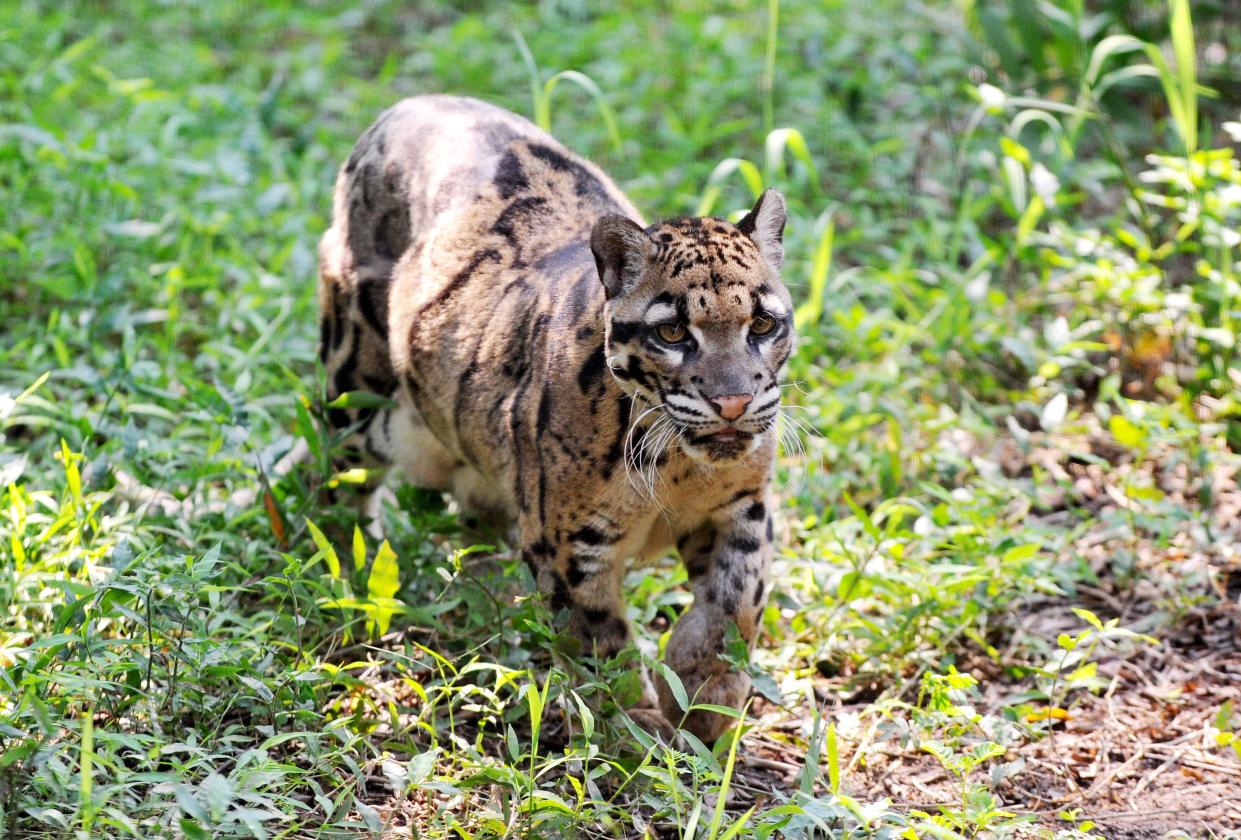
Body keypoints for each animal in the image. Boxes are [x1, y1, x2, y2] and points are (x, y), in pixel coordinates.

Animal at [320, 93, 794, 739]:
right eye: (673, 333)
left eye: (763, 324)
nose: (734, 403)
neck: (677, 462)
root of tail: (414, 101)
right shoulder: (568, 547)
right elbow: (600, 644)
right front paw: (634, 728)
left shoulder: (743, 507)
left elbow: (736, 598)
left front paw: (706, 690)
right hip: (358, 389)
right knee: (335, 472)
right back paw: (341, 554)